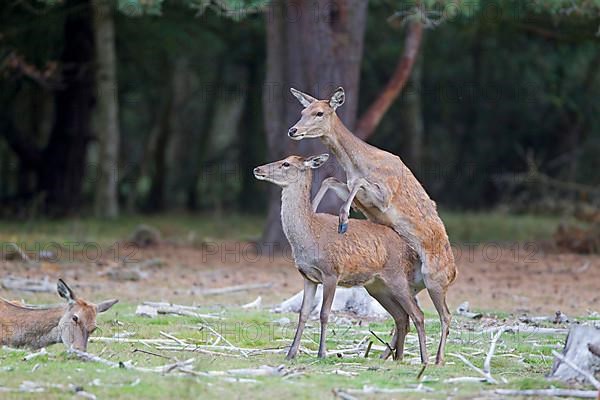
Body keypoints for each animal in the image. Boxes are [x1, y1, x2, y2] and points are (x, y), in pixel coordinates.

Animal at [253, 153, 426, 362]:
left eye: (286, 164)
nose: (257, 169)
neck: (309, 236)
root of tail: (410, 249)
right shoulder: (308, 277)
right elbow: (303, 314)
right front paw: (291, 353)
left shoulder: (331, 272)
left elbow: (324, 313)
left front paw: (322, 353)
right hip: (377, 286)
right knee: (401, 316)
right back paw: (397, 358)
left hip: (397, 276)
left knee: (418, 314)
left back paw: (426, 360)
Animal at [288, 87, 458, 366]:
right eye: (303, 110)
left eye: (319, 112)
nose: (293, 130)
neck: (360, 162)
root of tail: (454, 273)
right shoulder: (357, 192)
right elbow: (331, 179)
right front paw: (314, 207)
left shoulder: (385, 193)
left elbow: (358, 183)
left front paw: (343, 220)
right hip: (402, 284)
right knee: (406, 315)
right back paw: (387, 354)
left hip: (435, 278)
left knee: (444, 315)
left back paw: (436, 359)